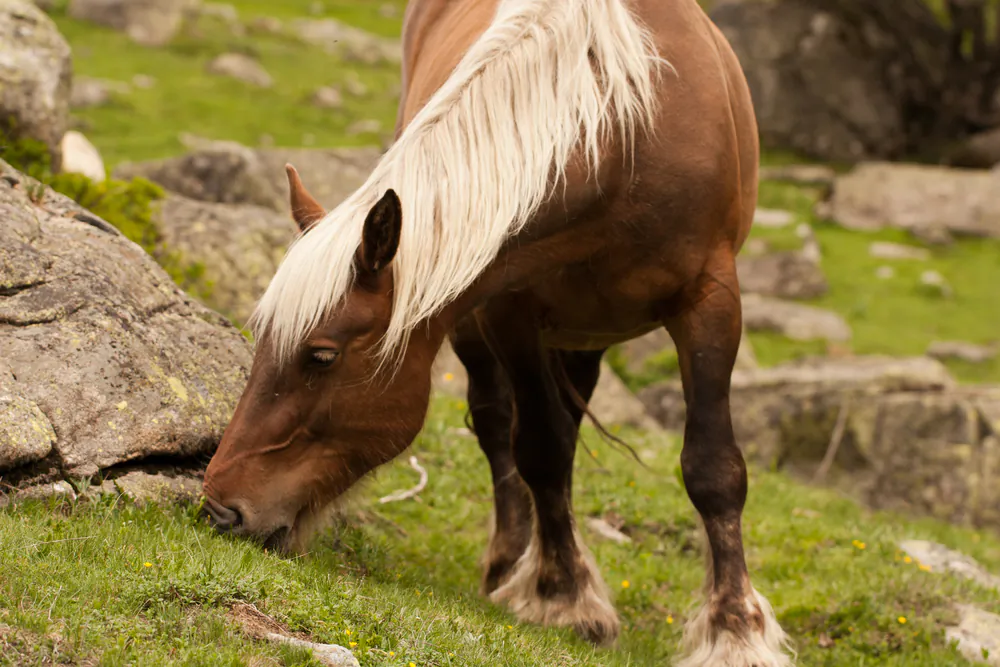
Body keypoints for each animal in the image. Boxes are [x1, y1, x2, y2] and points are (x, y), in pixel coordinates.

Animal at [201, 0, 793, 664]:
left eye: (321, 356)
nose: (220, 508)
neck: (622, 135)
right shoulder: (507, 309)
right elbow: (539, 448)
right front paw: (563, 596)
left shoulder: (711, 299)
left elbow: (713, 467)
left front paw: (736, 630)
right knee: (499, 424)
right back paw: (513, 560)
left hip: (584, 337)